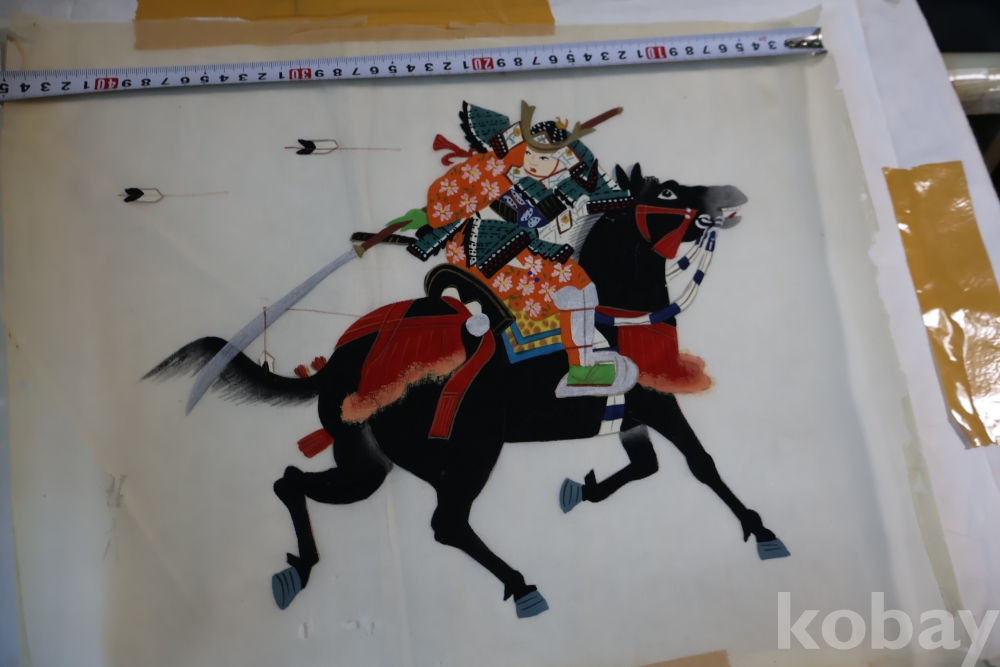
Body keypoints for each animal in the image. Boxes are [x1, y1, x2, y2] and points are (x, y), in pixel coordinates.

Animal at [144, 164, 789, 620]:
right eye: (674, 193)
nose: (734, 193)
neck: (617, 313)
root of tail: (341, 366)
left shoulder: (629, 415)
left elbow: (646, 466)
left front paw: (581, 489)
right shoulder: (658, 403)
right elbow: (701, 464)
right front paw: (761, 531)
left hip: (367, 463)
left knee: (292, 481)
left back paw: (300, 568)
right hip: (469, 452)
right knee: (447, 523)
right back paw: (522, 586)